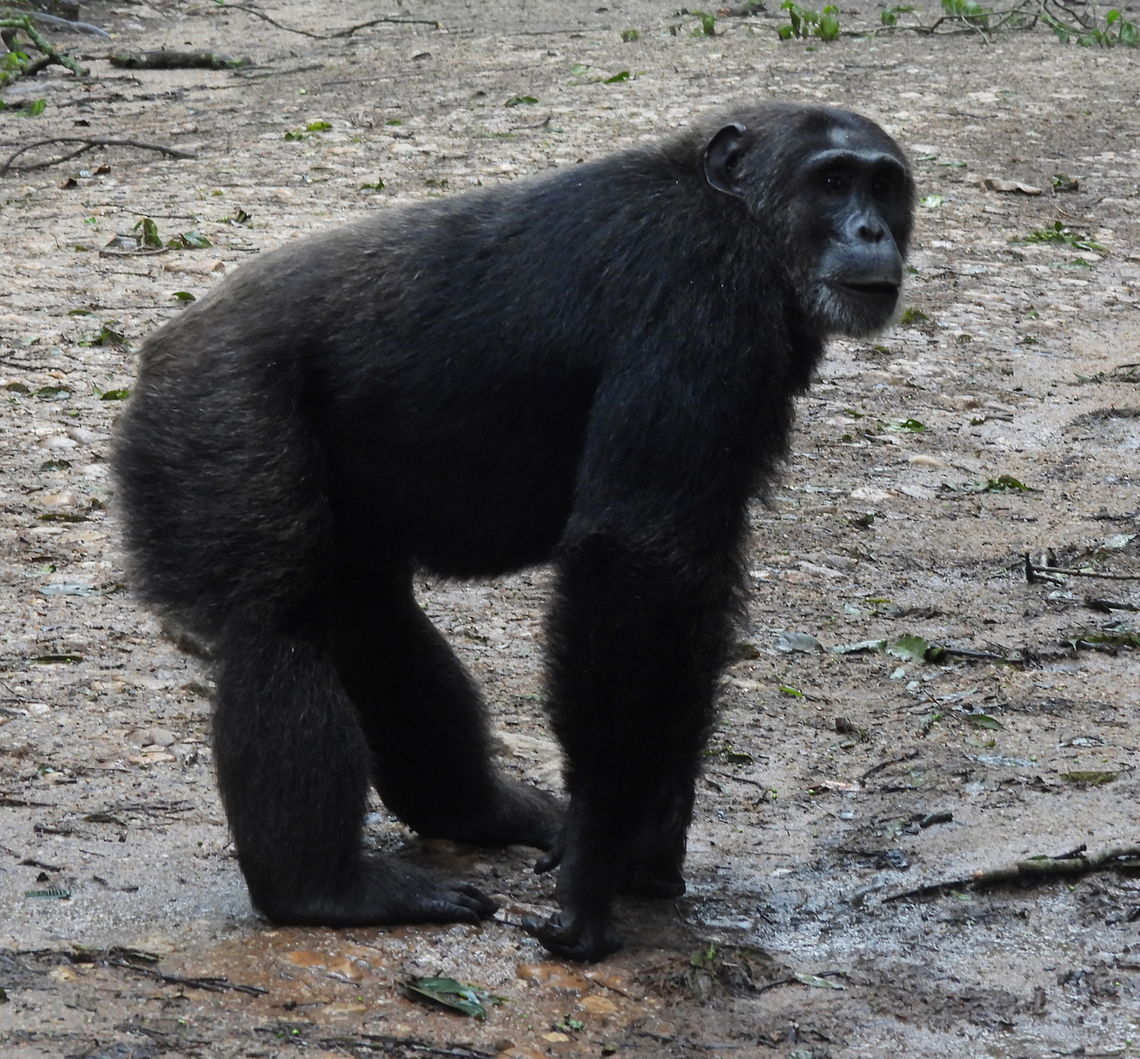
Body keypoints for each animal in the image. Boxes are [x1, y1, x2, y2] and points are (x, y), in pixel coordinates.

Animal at [111, 101, 915, 962]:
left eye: (882, 185)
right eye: (831, 181)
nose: (870, 228)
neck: (744, 224)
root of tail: (158, 352)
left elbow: (688, 593)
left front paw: (650, 833)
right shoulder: (702, 305)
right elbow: (638, 560)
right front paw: (597, 858)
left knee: (367, 614)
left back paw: (476, 811)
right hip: (214, 416)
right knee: (277, 625)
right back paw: (322, 888)